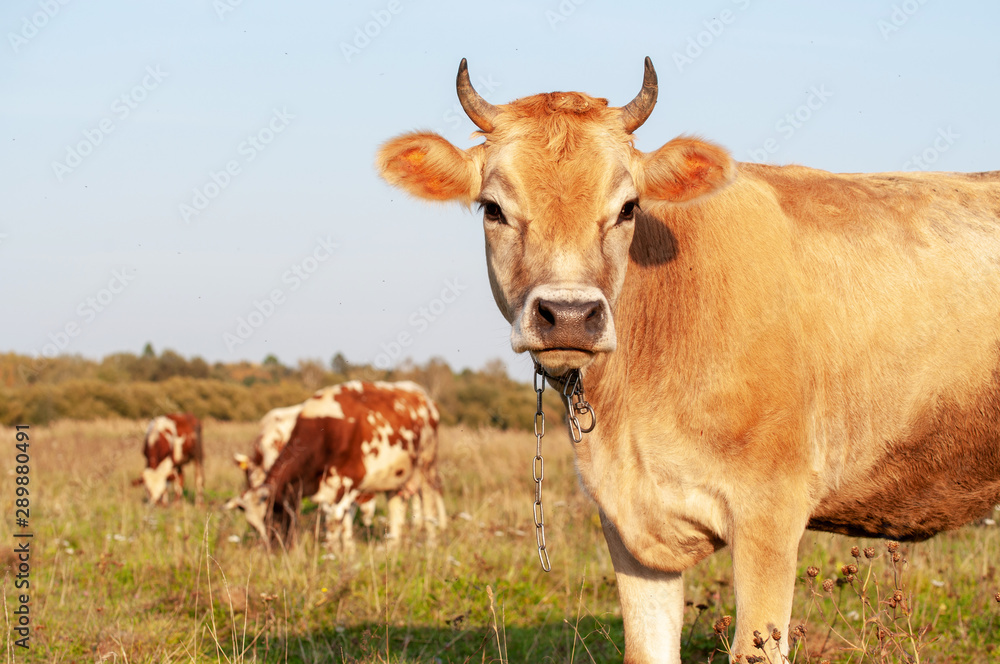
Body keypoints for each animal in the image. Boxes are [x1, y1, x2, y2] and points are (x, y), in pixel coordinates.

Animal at [230, 382, 446, 552]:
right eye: (252, 525)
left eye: (274, 519)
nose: (271, 550)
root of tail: (423, 396)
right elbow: (342, 520)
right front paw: (347, 552)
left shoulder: (346, 481)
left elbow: (335, 520)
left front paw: (333, 555)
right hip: (396, 475)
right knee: (396, 508)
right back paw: (393, 547)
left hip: (427, 464)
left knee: (430, 498)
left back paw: (433, 542)